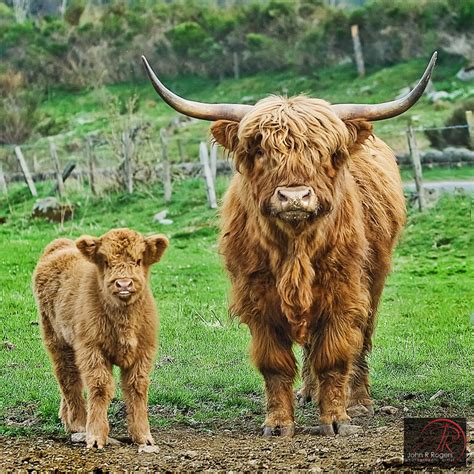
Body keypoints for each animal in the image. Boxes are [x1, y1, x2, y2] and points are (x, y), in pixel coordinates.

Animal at [32, 230, 168, 448]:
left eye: (138, 260)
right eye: (106, 261)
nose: (123, 284)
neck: (124, 321)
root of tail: (60, 245)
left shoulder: (144, 352)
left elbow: (136, 388)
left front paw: (143, 436)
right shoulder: (92, 350)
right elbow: (100, 387)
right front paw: (95, 436)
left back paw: (66, 418)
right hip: (56, 339)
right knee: (68, 378)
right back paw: (78, 422)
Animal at [143, 51, 436, 436]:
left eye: (327, 152)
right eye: (259, 150)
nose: (295, 196)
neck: (296, 248)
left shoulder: (343, 292)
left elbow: (335, 355)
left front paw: (337, 419)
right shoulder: (257, 298)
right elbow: (276, 364)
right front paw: (279, 423)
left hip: (374, 279)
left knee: (362, 340)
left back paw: (359, 400)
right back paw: (309, 392)